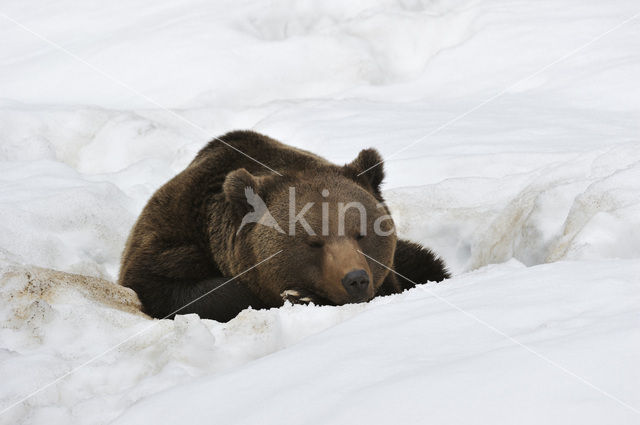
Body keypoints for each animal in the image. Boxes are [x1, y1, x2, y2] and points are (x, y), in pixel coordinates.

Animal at [120, 131, 450, 320]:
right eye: (314, 242)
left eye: (361, 234)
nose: (355, 280)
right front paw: (298, 295)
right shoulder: (171, 238)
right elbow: (168, 287)